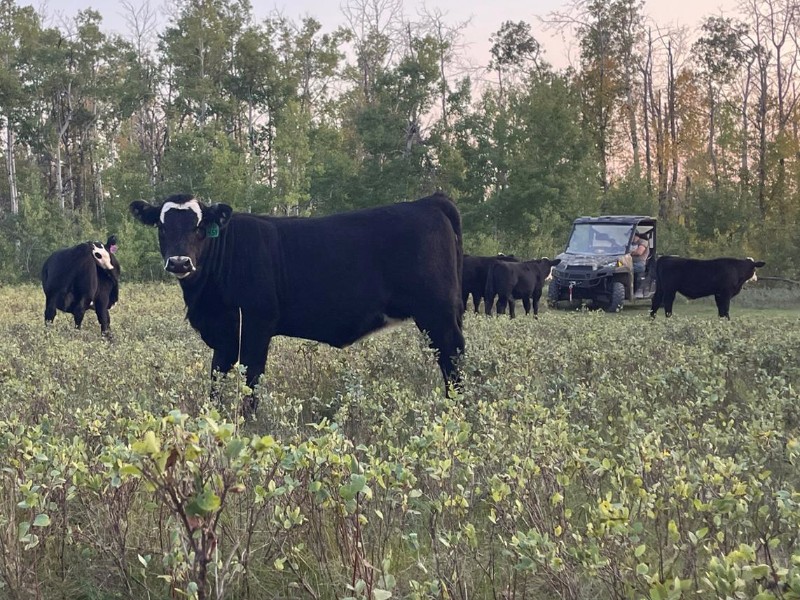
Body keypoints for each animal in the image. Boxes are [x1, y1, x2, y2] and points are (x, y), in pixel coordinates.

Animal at [129, 193, 465, 410]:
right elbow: (216, 385)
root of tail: (430, 201)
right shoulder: (224, 337)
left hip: (437, 313)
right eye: (162, 226)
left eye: (199, 227)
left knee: (453, 358)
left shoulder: (256, 329)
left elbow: (251, 385)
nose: (179, 262)